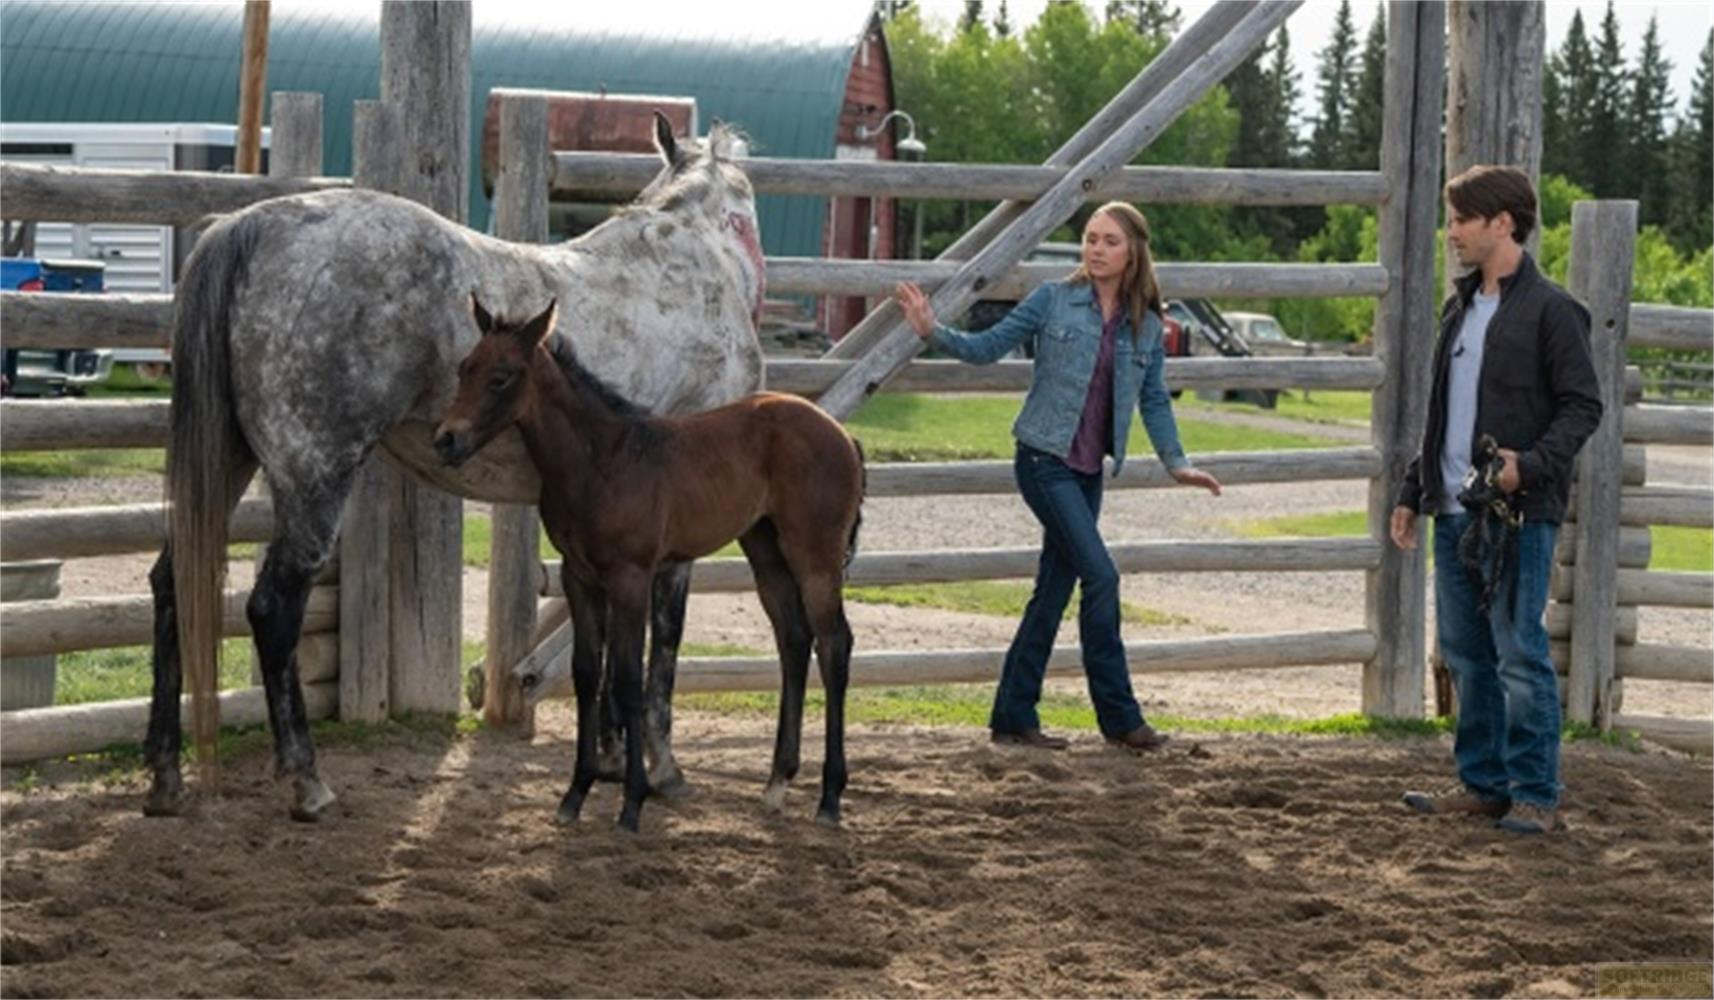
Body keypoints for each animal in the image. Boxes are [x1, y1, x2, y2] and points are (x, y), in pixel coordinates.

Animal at [149, 114, 766, 821]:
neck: (692, 266)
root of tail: (250, 228)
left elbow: (615, 647)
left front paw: (613, 757)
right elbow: (661, 643)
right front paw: (660, 766)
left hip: (229, 463)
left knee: (172, 584)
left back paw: (165, 777)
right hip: (314, 478)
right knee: (272, 609)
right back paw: (307, 780)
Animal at [433, 296, 865, 832]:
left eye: (501, 376)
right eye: (464, 368)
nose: (446, 440)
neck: (600, 461)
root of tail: (842, 435)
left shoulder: (631, 576)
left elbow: (627, 678)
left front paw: (632, 801)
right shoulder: (579, 577)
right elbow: (586, 673)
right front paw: (575, 793)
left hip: (815, 555)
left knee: (833, 644)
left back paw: (829, 797)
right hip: (765, 550)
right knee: (794, 640)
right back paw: (776, 783)